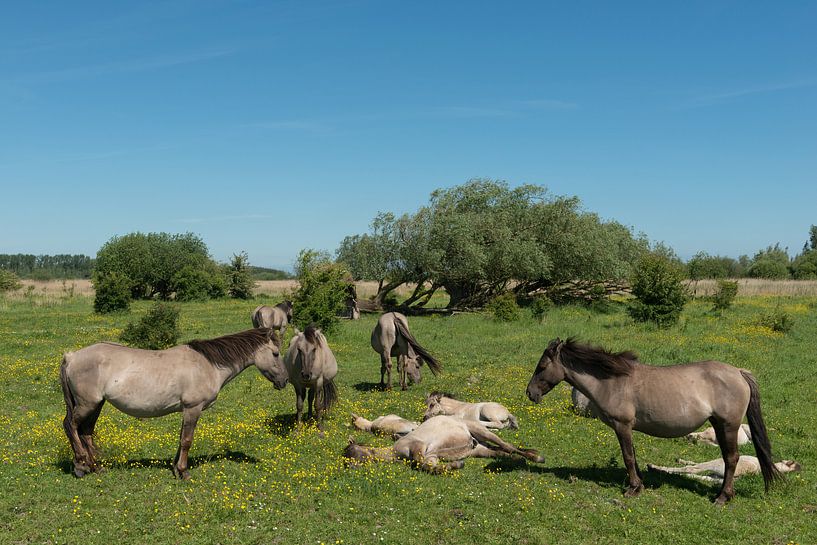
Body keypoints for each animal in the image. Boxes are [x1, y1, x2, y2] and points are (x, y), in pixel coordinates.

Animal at [59, 328, 286, 476]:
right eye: (275, 353)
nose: (284, 381)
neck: (207, 364)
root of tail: (72, 357)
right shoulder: (193, 408)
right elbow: (187, 440)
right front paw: (183, 472)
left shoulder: (186, 410)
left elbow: (181, 439)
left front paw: (176, 468)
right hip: (87, 404)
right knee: (70, 426)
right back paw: (81, 465)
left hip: (96, 404)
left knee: (86, 432)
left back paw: (95, 467)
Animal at [342, 414, 540, 474]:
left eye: (351, 451)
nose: (349, 468)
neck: (396, 450)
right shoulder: (431, 456)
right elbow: (429, 465)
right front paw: (455, 465)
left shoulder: (418, 446)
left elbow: (420, 463)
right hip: (479, 449)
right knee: (500, 452)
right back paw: (516, 460)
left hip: (482, 431)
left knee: (507, 445)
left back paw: (536, 457)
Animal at [524, 336, 780, 506]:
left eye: (542, 366)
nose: (530, 393)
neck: (612, 382)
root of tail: (738, 372)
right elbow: (633, 456)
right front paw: (640, 484)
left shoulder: (622, 426)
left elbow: (628, 457)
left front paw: (633, 488)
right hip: (718, 424)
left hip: (728, 426)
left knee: (731, 459)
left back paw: (723, 497)